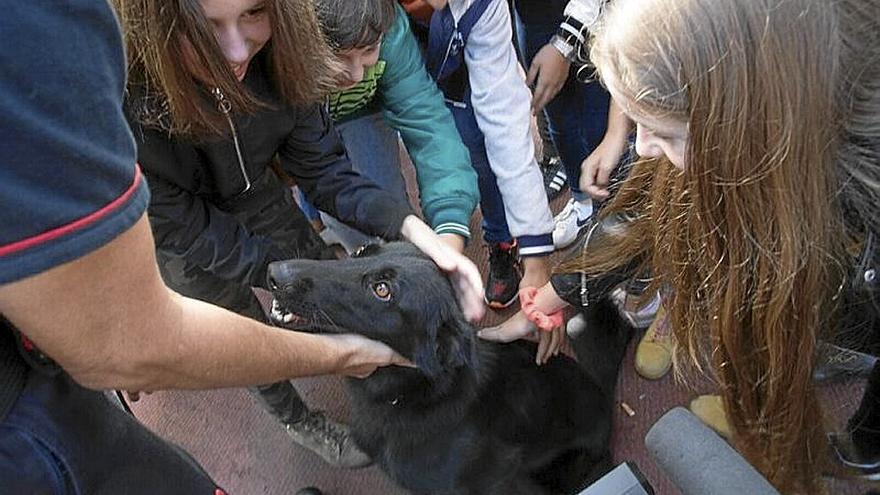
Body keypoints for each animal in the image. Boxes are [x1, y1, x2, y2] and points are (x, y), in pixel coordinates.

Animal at [268, 244, 632, 495]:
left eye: (382, 290)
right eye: (360, 251)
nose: (274, 273)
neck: (410, 397)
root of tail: (599, 390)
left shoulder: (499, 482)